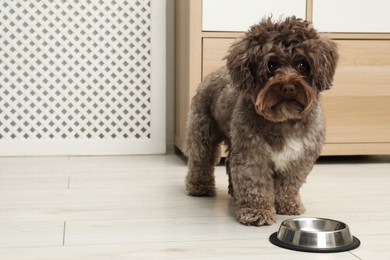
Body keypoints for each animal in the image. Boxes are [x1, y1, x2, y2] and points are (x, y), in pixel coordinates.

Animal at [183, 16, 338, 225]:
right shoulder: (252, 155)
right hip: (202, 132)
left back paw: (234, 192)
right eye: (271, 65)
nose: (288, 86)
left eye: (302, 65)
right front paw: (257, 211)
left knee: (229, 163)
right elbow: (255, 184)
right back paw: (199, 187)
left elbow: (289, 185)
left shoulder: (299, 159)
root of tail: (213, 74)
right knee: (201, 159)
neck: (284, 120)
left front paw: (287, 205)